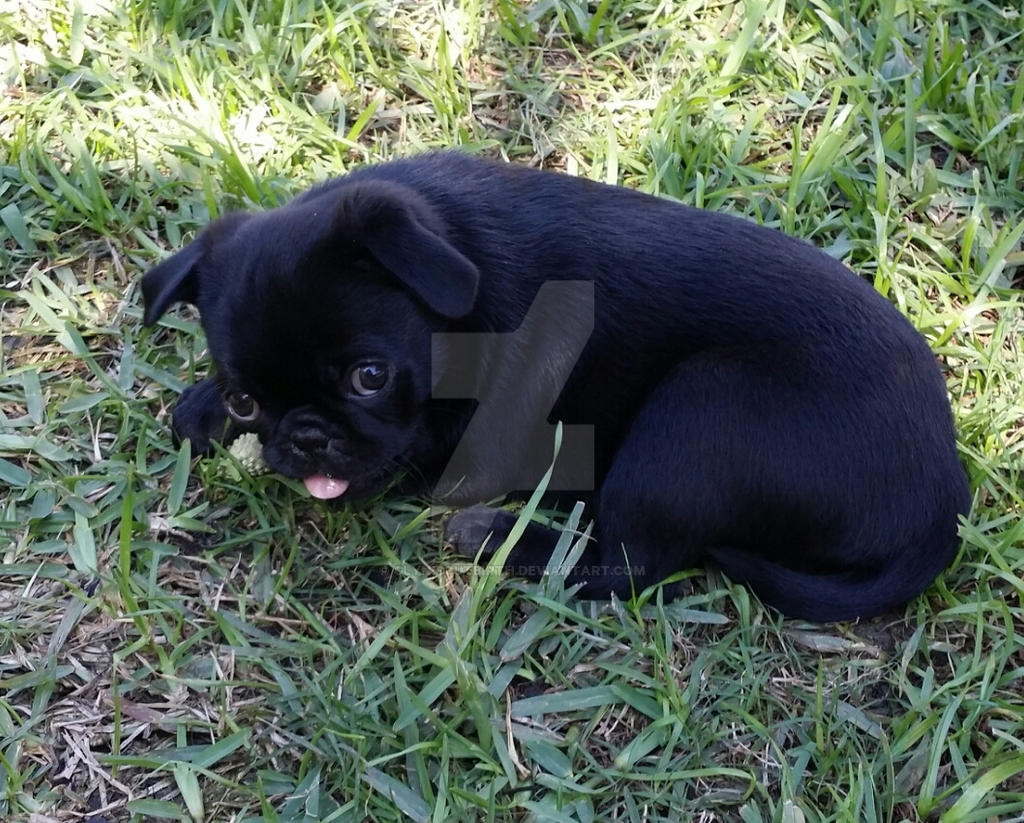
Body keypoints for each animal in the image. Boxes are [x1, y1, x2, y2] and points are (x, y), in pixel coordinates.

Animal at [142, 151, 966, 622]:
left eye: (369, 378)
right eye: (248, 399)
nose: (306, 436)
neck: (457, 254)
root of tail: (942, 504)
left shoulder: (462, 451)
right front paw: (203, 407)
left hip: (702, 406)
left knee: (633, 564)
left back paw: (499, 536)